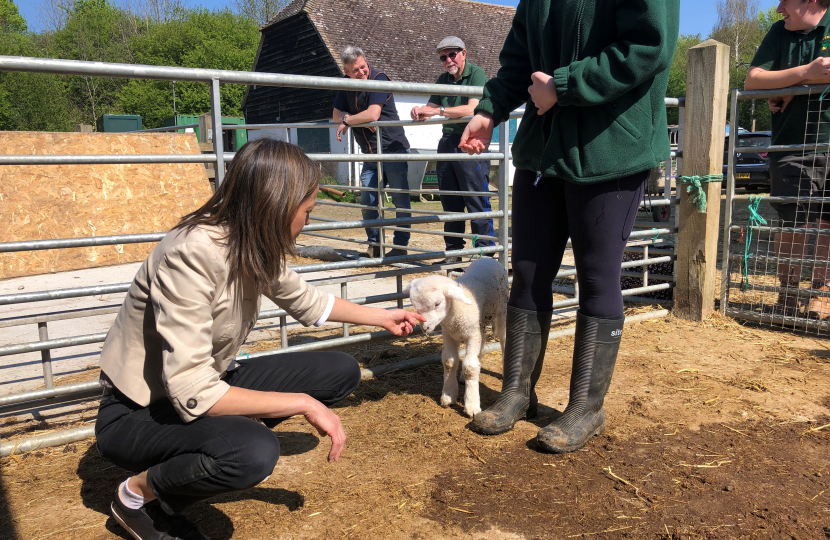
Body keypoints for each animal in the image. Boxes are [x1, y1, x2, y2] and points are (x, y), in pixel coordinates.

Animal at [402, 258, 508, 418]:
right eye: (415, 306)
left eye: (437, 304)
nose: (425, 328)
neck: (456, 311)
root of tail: (488, 259)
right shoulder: (449, 334)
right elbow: (449, 362)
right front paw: (448, 396)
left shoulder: (472, 334)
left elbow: (470, 367)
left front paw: (472, 406)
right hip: (481, 325)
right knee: (481, 346)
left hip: (501, 312)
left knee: (503, 338)